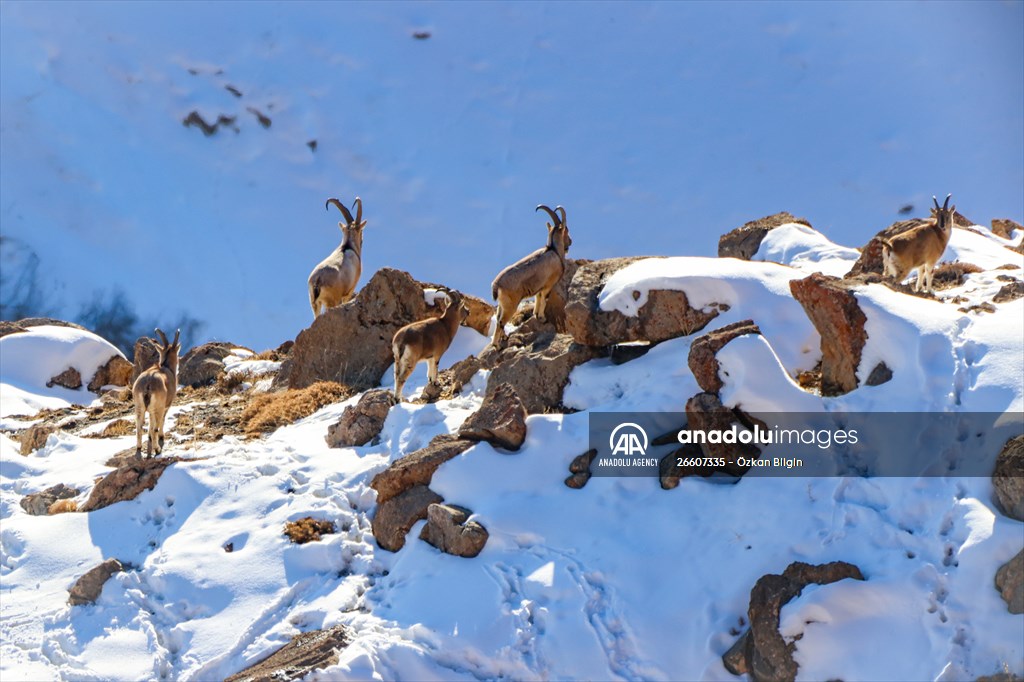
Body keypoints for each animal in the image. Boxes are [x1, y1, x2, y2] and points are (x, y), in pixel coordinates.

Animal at [133, 328, 180, 458]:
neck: (166, 367)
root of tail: (148, 384)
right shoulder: (166, 406)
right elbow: (161, 422)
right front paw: (161, 437)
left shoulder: (149, 409)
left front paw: (149, 437)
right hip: (158, 406)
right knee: (156, 426)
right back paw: (157, 449)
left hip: (139, 406)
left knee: (139, 426)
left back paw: (139, 447)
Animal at [489, 204, 572, 348]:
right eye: (566, 230)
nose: (570, 242)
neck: (554, 250)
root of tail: (496, 285)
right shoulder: (548, 285)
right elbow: (544, 299)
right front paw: (542, 318)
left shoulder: (540, 287)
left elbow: (538, 299)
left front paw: (536, 315)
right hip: (511, 305)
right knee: (501, 322)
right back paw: (497, 345)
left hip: (502, 304)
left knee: (499, 319)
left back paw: (503, 338)